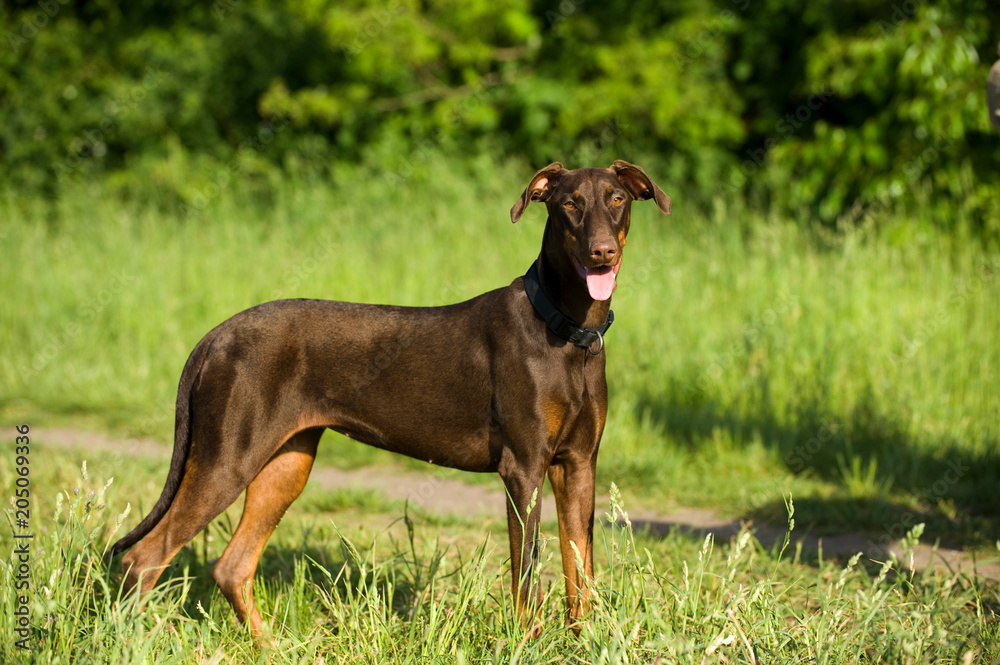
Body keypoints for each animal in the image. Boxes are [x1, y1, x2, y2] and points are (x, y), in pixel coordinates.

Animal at [109, 160, 668, 632]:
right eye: (569, 203)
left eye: (617, 198)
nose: (602, 252)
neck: (568, 330)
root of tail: (214, 337)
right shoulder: (523, 467)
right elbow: (525, 579)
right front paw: (524, 642)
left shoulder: (578, 465)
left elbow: (581, 572)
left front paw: (582, 641)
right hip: (226, 459)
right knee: (144, 557)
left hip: (285, 463)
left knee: (231, 567)